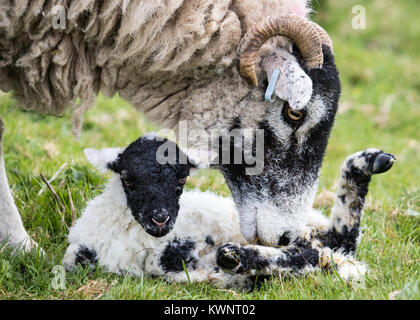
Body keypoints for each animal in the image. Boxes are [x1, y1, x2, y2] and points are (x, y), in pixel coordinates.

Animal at [61, 134, 394, 288]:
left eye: (182, 178)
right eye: (128, 178)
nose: (160, 218)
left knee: (319, 247)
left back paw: (369, 162)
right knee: (316, 252)